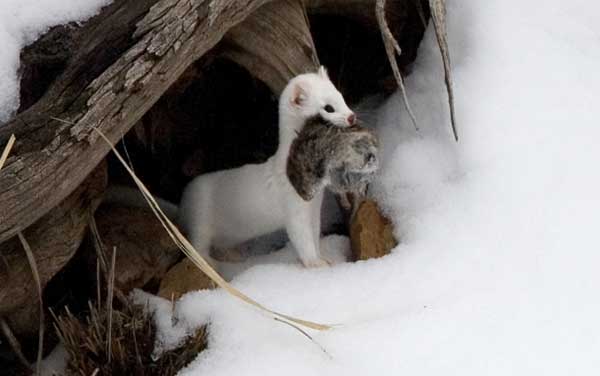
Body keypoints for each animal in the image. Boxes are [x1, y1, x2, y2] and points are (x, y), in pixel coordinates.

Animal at [178, 67, 356, 268]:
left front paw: (324, 257)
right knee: (197, 247)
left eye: (340, 96)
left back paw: (233, 255)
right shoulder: (293, 207)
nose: (352, 116)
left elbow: (315, 233)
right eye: (328, 108)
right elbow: (301, 239)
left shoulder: (314, 206)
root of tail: (184, 199)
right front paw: (316, 263)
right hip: (199, 218)